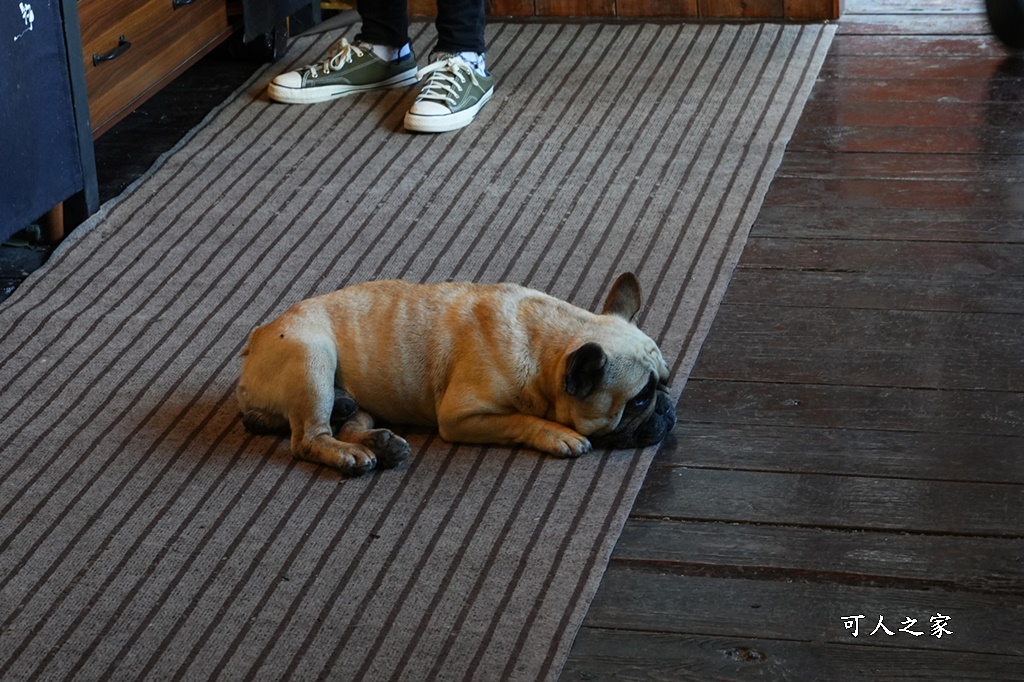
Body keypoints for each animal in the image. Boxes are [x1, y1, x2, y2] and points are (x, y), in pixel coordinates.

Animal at [235, 270, 675, 473]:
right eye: (639, 399)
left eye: (666, 381)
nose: (668, 408)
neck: (547, 348)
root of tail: (255, 341)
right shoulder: (461, 417)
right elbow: (520, 419)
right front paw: (556, 434)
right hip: (313, 359)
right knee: (309, 439)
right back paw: (349, 455)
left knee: (347, 421)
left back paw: (380, 443)